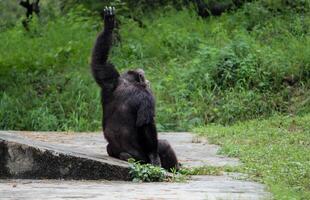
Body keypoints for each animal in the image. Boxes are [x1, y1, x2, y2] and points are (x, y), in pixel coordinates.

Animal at [91, 7, 179, 171]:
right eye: (145, 77)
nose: (148, 81)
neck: (129, 82)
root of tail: (122, 153)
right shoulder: (148, 96)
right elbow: (146, 124)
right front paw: (154, 157)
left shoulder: (111, 78)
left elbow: (98, 63)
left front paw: (108, 26)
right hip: (140, 157)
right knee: (164, 144)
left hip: (111, 150)